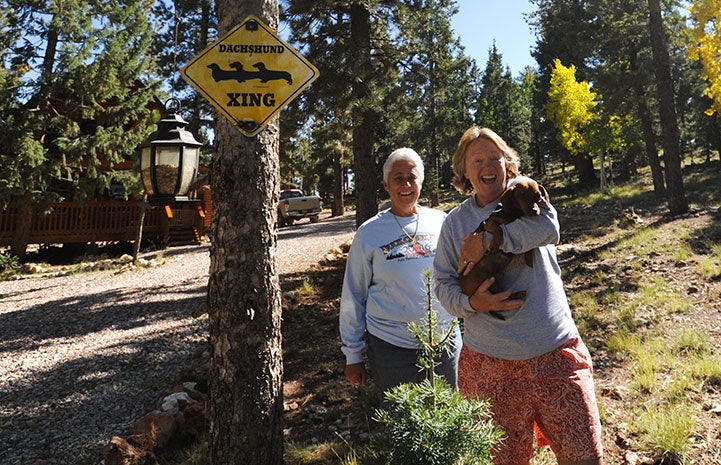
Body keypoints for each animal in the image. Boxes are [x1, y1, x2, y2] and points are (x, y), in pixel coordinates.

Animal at [458, 177, 548, 316]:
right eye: (522, 196)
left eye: (538, 196)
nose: (534, 211)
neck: (514, 215)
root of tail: (467, 293)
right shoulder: (489, 223)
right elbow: (499, 229)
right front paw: (495, 243)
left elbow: (530, 246)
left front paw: (529, 258)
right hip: (487, 281)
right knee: (503, 297)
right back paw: (517, 294)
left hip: (494, 279)